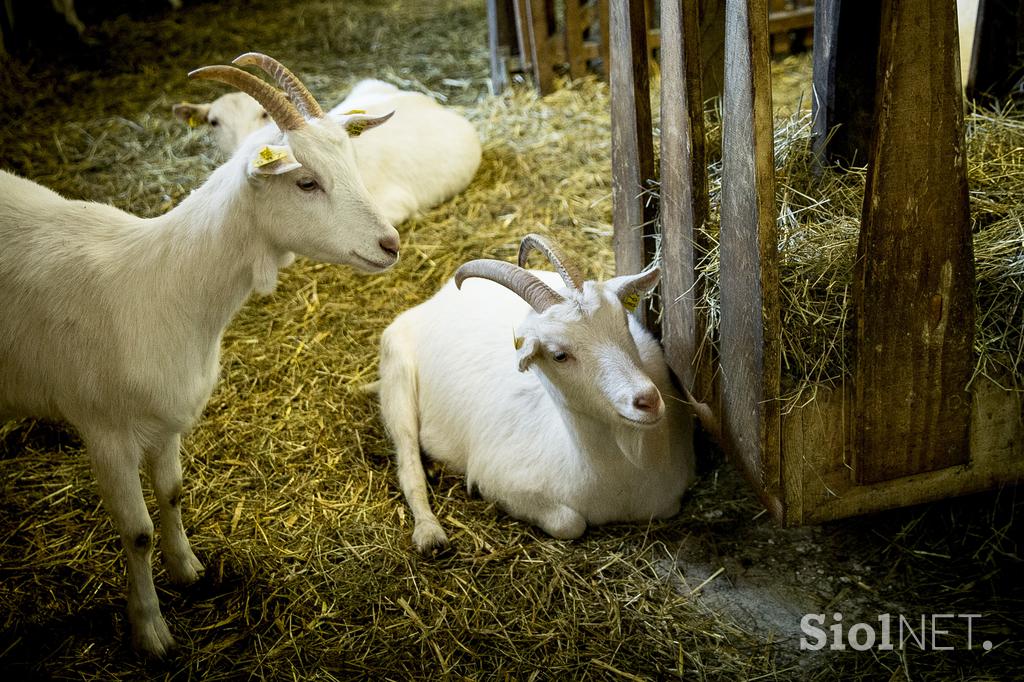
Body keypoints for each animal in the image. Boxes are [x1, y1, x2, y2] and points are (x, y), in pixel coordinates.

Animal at [0, 51, 399, 655]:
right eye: (306, 182)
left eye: (353, 164)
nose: (390, 244)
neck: (160, 282)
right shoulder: (104, 432)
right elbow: (137, 532)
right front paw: (151, 631)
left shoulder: (166, 420)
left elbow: (172, 493)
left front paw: (189, 570)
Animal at [380, 233, 700, 552]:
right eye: (559, 355)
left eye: (624, 322)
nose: (647, 400)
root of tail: (441, 297)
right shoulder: (496, 479)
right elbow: (569, 523)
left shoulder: (668, 498)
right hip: (396, 374)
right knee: (408, 464)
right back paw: (429, 534)